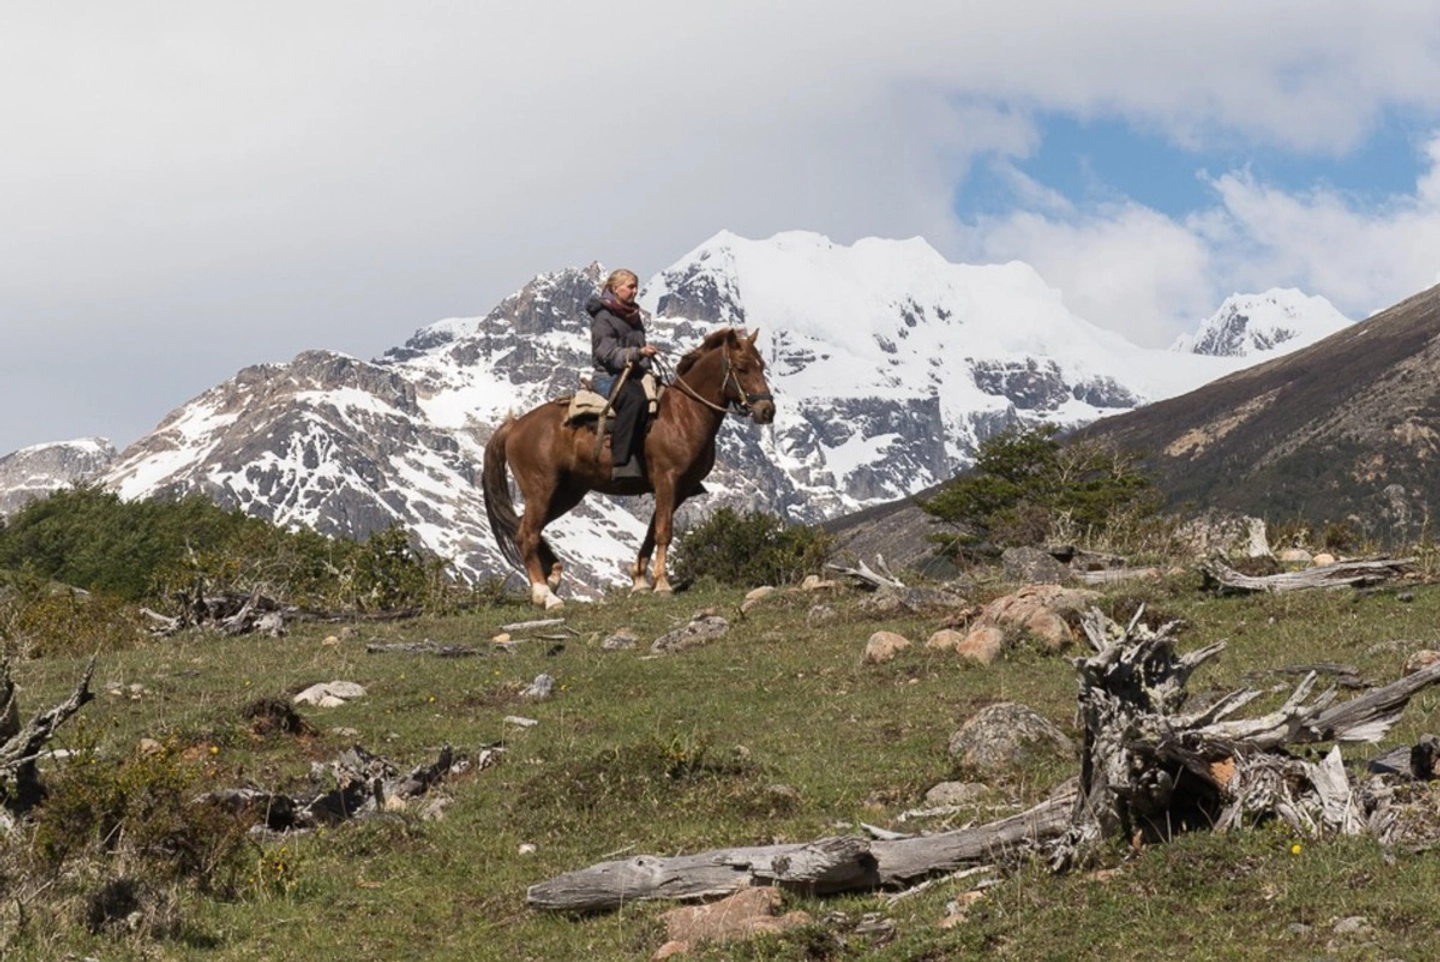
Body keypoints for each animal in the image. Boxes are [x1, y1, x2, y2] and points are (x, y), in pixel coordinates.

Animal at [482, 327, 777, 609]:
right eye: (742, 368)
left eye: (761, 365)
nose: (767, 410)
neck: (684, 414)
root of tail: (515, 426)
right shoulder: (667, 480)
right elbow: (664, 531)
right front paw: (662, 584)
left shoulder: (679, 489)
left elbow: (651, 531)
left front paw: (640, 580)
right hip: (541, 489)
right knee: (527, 534)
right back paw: (546, 595)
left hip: (567, 493)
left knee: (526, 527)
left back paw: (553, 578)